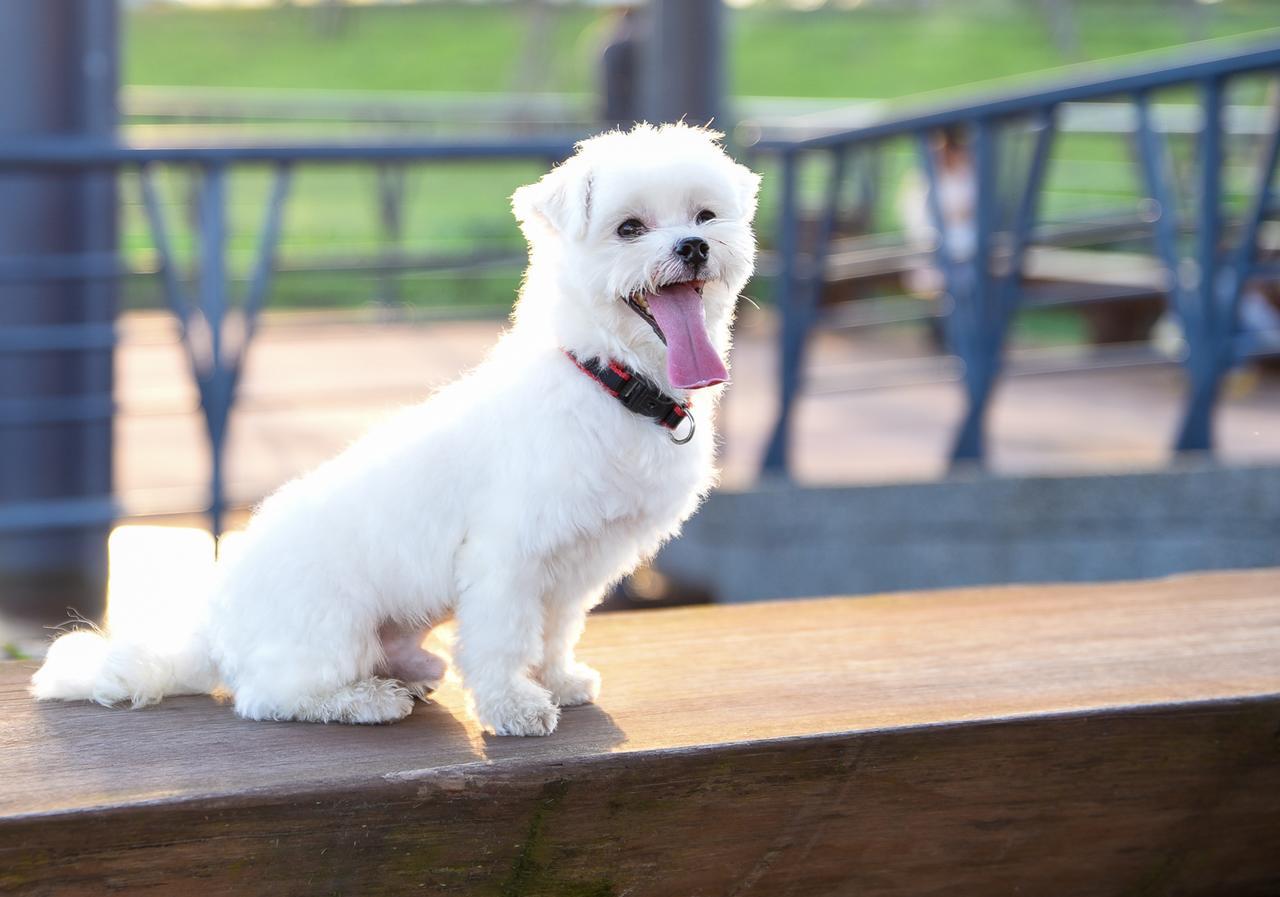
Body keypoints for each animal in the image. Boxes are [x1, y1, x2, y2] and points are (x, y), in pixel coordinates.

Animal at [30, 122, 757, 737]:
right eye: (629, 227)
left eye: (705, 215)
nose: (693, 246)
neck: (607, 377)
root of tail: (213, 628)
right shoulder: (506, 553)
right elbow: (505, 635)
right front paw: (513, 706)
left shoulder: (578, 562)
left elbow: (553, 631)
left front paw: (556, 680)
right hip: (331, 626)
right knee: (270, 696)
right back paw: (366, 699)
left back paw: (412, 673)